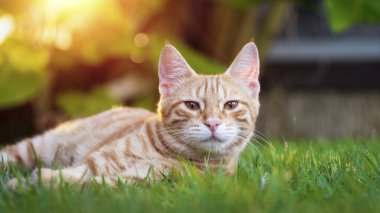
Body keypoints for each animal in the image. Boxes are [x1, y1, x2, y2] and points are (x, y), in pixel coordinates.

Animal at [0, 41, 260, 186]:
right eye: (192, 106)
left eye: (231, 105)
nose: (213, 123)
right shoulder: (98, 162)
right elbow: (80, 172)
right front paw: (30, 183)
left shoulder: (144, 182)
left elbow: (90, 184)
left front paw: (40, 182)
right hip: (39, 147)